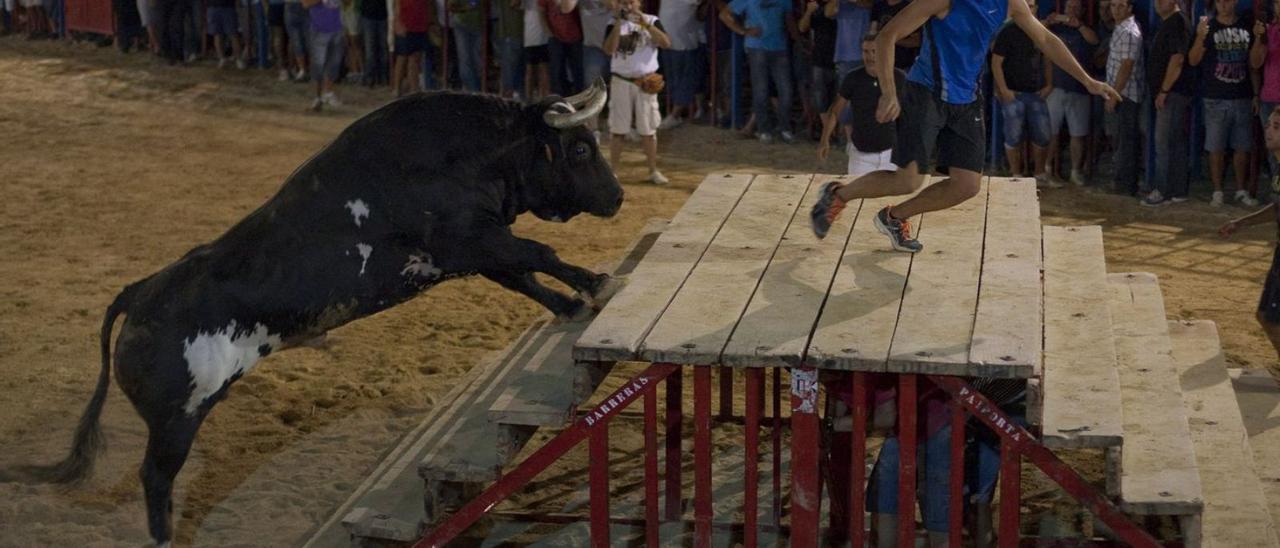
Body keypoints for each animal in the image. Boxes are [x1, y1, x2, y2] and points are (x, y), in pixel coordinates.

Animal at [5, 80, 622, 542]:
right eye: (581, 148)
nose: (617, 198)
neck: (459, 152)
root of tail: (140, 292)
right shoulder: (472, 238)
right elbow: (537, 254)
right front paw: (596, 282)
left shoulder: (470, 251)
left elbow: (524, 276)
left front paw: (572, 301)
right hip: (177, 419)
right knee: (155, 481)